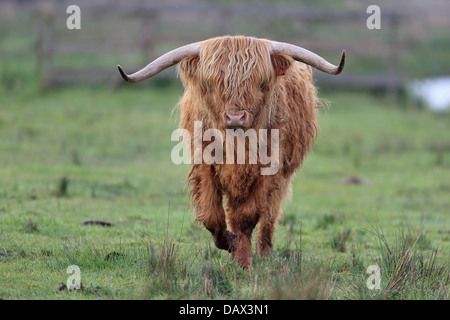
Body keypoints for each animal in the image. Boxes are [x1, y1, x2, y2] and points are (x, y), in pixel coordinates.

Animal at [118, 35, 346, 270]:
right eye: (212, 84)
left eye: (260, 82)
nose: (235, 117)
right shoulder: (204, 164)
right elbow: (211, 215)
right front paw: (229, 243)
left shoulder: (269, 169)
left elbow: (246, 217)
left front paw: (243, 262)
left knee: (270, 213)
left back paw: (264, 252)